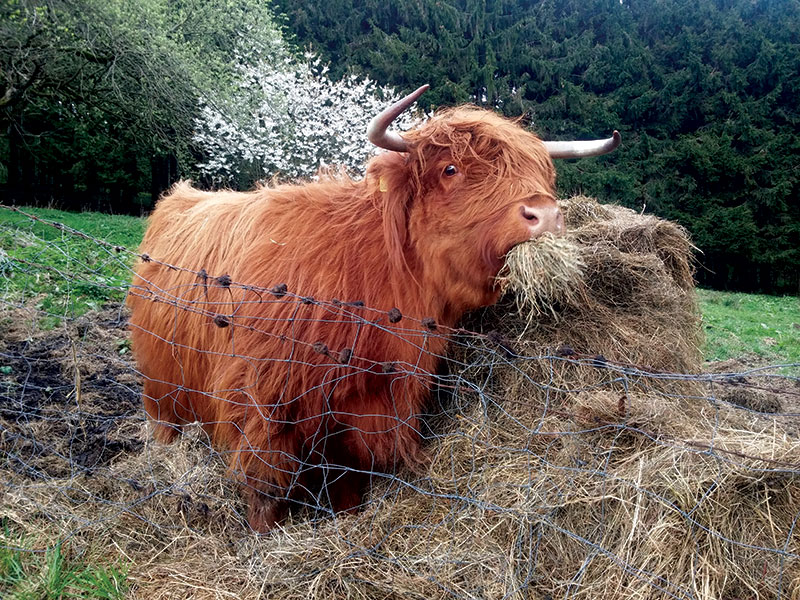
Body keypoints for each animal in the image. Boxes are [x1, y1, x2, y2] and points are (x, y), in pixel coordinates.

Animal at [127, 85, 620, 531]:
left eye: (541, 173)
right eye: (451, 168)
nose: (545, 214)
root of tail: (177, 199)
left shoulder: (364, 411)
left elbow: (349, 482)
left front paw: (346, 522)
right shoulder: (259, 403)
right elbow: (265, 488)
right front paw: (263, 541)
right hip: (160, 386)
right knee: (168, 427)